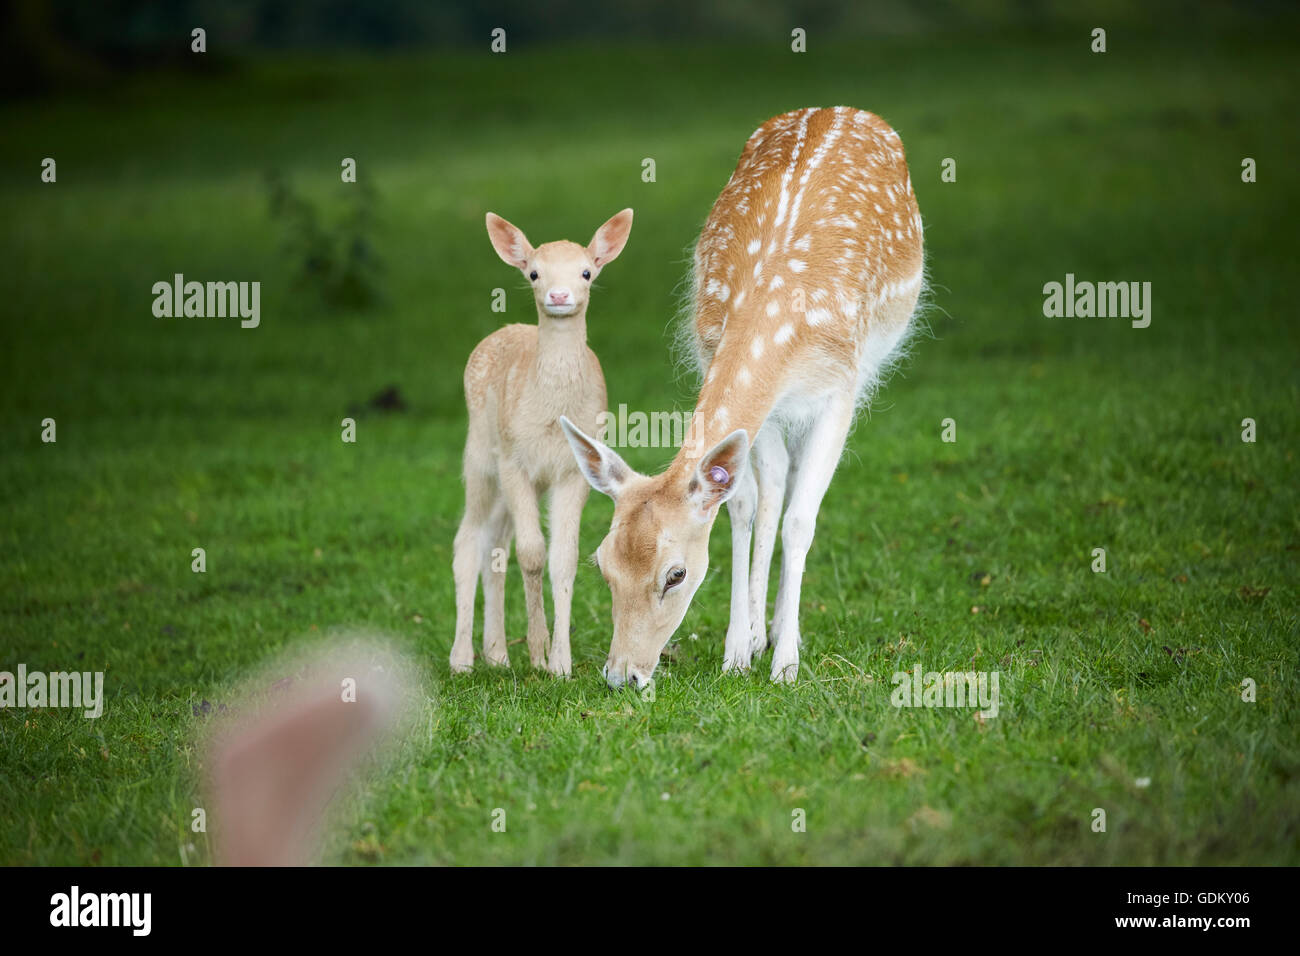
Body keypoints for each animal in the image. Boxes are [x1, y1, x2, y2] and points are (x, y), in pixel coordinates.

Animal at [561, 104, 925, 686]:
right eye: (602, 563)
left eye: (676, 574)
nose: (622, 676)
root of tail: (839, 106)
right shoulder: (758, 403)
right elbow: (747, 505)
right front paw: (738, 651)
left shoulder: (839, 389)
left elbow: (800, 519)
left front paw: (785, 664)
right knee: (775, 486)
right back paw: (761, 631)